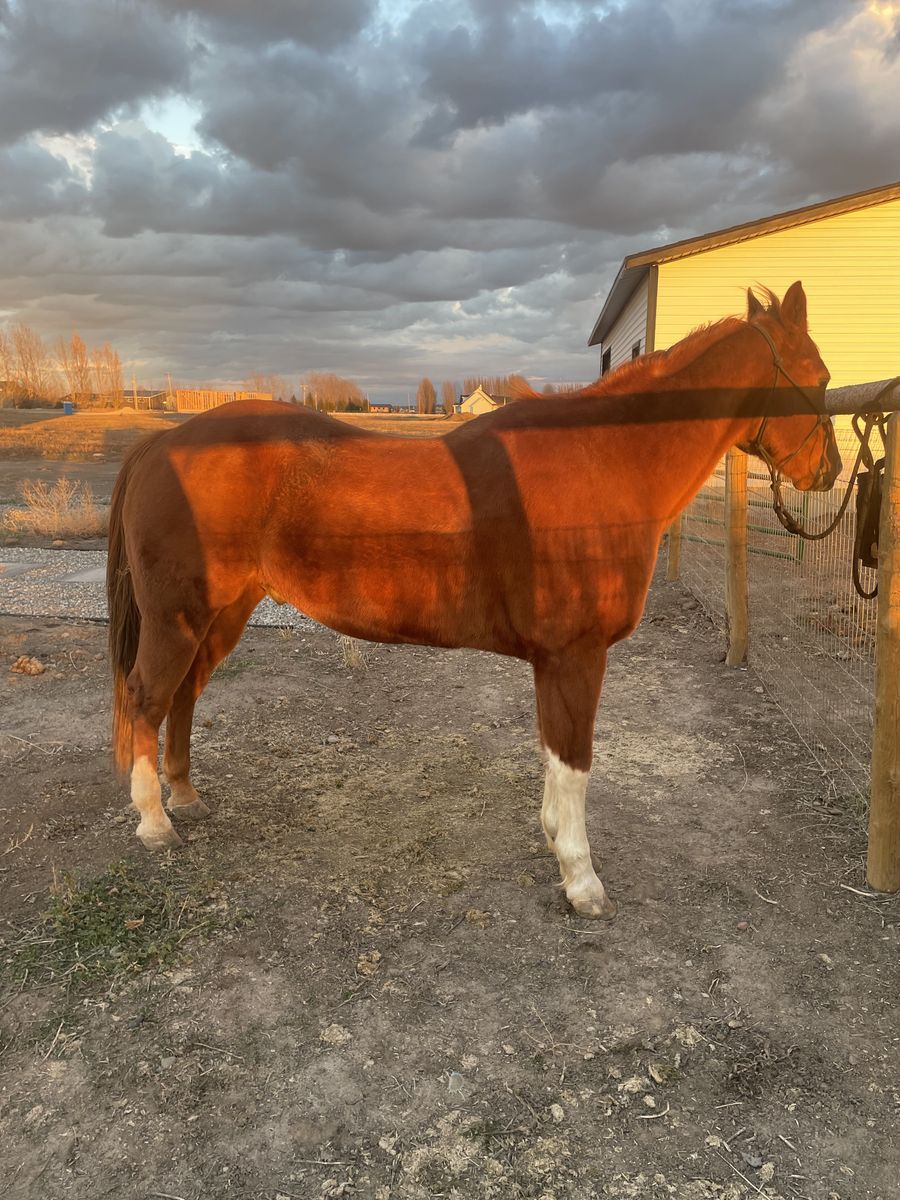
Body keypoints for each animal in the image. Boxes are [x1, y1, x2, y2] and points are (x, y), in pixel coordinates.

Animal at [107, 281, 840, 919]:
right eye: (821, 376)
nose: (828, 472)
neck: (602, 461)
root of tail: (164, 441)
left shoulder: (554, 661)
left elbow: (553, 755)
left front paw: (553, 839)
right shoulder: (576, 656)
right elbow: (576, 760)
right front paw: (582, 881)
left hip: (223, 613)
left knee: (183, 695)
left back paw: (185, 796)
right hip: (179, 618)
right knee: (147, 696)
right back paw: (154, 823)